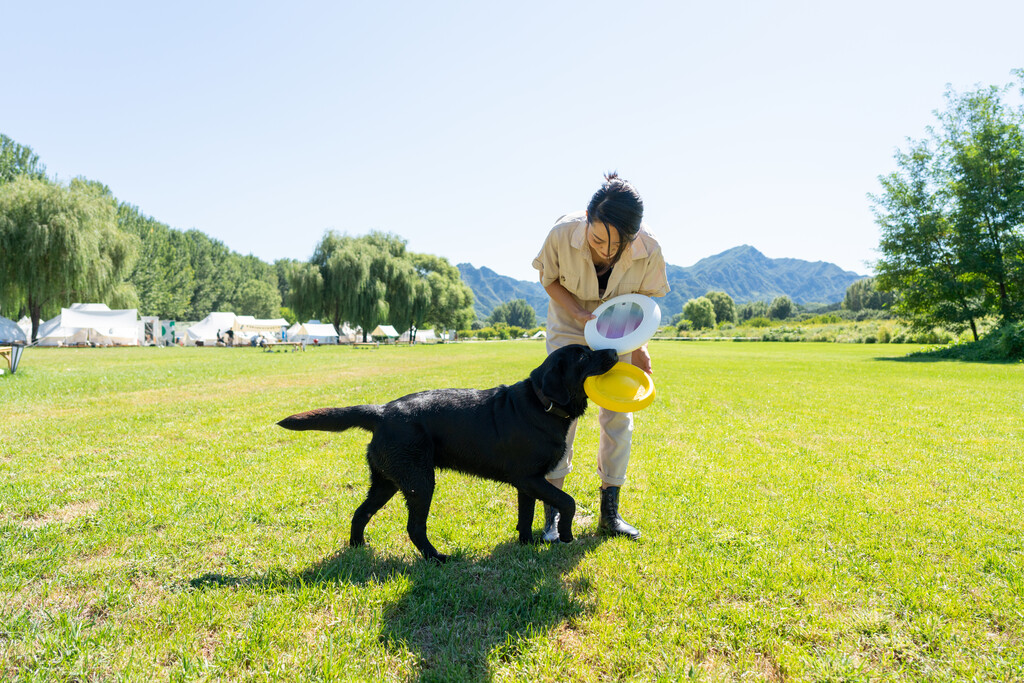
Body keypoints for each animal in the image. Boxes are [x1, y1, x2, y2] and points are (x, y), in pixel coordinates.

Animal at [276, 344, 618, 565]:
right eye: (584, 356)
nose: (615, 352)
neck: (542, 403)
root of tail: (381, 411)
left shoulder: (528, 484)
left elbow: (526, 516)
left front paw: (526, 545)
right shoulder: (530, 479)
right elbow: (567, 501)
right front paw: (566, 534)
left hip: (386, 482)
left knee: (361, 513)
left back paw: (358, 548)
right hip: (420, 482)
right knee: (414, 527)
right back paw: (436, 557)